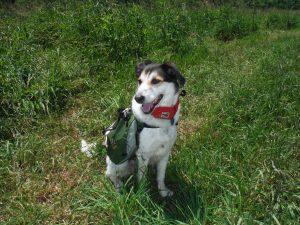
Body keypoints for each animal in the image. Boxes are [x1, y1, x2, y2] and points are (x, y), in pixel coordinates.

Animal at [82, 59, 185, 197]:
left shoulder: (165, 153)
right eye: (139, 81)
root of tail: (104, 146)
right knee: (109, 174)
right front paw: (143, 195)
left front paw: (163, 191)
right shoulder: (143, 156)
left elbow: (161, 176)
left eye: (155, 81)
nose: (138, 98)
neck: (159, 118)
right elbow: (142, 179)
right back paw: (119, 186)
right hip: (121, 163)